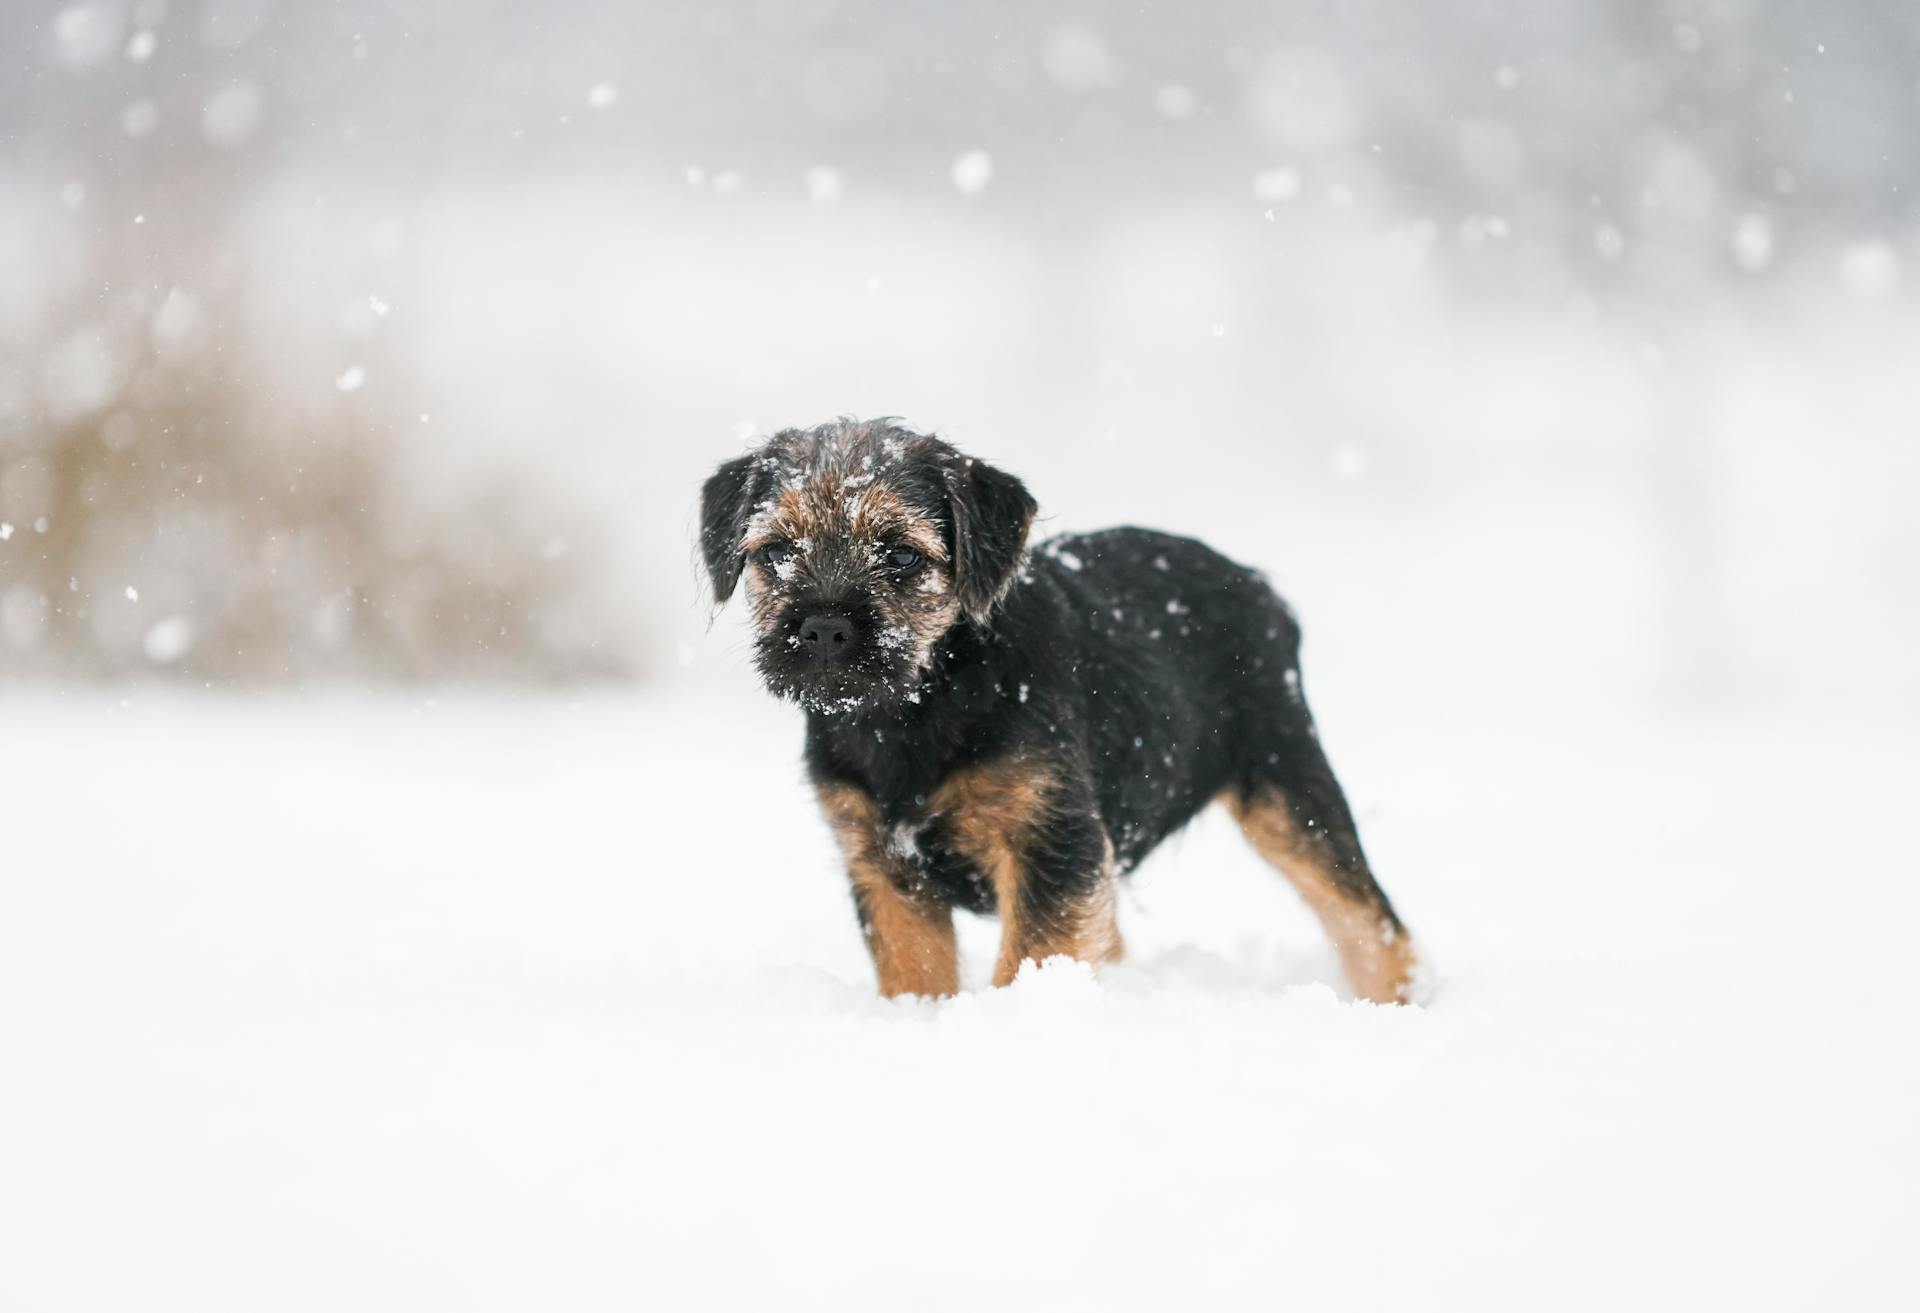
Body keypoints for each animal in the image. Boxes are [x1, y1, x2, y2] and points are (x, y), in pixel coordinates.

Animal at [698, 420, 1420, 1005]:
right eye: (776, 551)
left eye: (900, 553)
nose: (823, 628)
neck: (916, 708)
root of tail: (1259, 585)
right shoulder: (884, 867)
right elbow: (915, 969)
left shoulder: (1051, 841)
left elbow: (1034, 954)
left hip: (1286, 782)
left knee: (1368, 918)